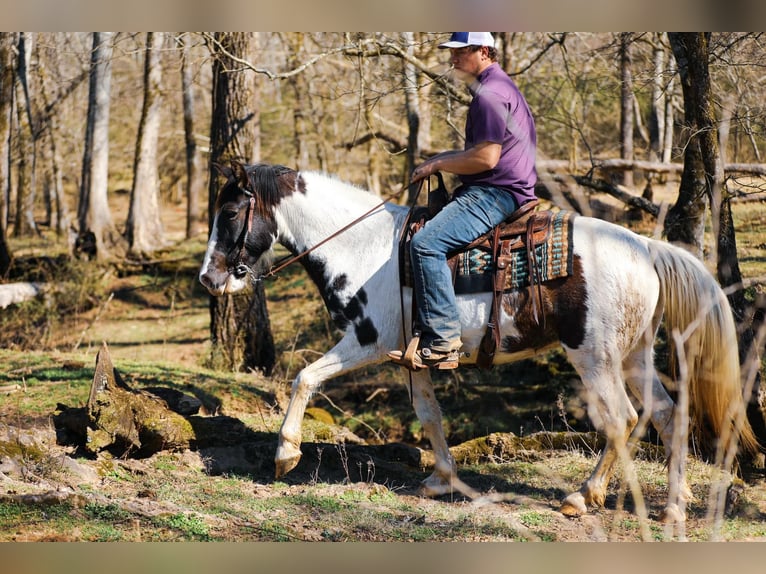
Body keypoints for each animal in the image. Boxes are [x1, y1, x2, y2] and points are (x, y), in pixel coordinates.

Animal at [199, 161, 758, 524]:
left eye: (230, 214)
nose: (209, 278)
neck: (364, 248)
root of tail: (643, 244)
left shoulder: (366, 342)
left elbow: (304, 377)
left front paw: (285, 454)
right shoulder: (413, 358)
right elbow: (429, 416)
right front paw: (441, 479)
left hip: (594, 357)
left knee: (621, 418)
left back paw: (583, 497)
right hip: (634, 353)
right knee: (666, 414)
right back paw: (676, 503)